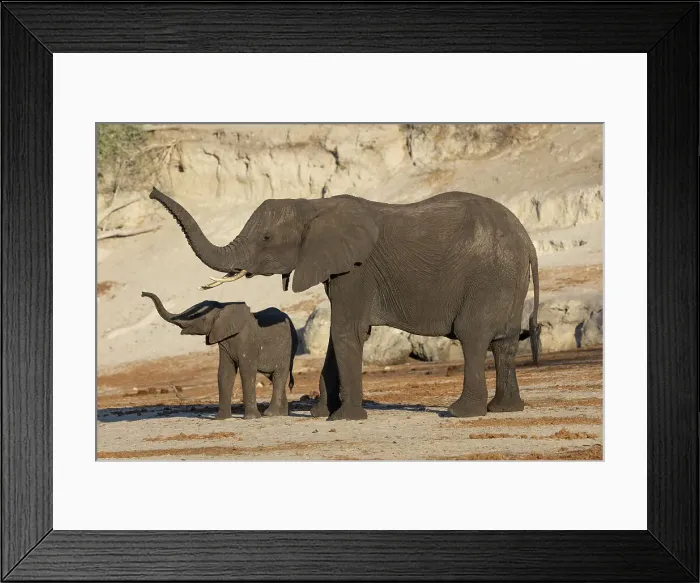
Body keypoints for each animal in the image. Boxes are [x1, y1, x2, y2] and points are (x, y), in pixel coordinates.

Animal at [141, 291, 298, 419]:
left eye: (197, 316)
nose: (143, 293)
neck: (223, 307)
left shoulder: (248, 341)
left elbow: (247, 372)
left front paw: (251, 418)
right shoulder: (223, 341)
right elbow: (225, 372)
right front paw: (221, 418)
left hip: (288, 348)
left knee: (279, 375)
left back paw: (270, 414)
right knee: (273, 376)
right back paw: (281, 414)